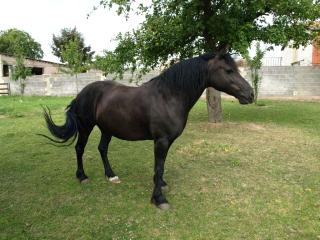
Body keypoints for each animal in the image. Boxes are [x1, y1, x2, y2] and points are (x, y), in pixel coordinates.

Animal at [41, 46, 254, 208]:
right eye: (228, 70)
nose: (250, 94)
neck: (168, 97)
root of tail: (81, 93)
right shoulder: (161, 141)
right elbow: (159, 167)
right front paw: (159, 199)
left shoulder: (167, 141)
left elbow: (161, 167)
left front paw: (161, 185)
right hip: (86, 126)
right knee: (79, 148)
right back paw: (82, 176)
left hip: (107, 129)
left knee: (102, 149)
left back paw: (111, 175)